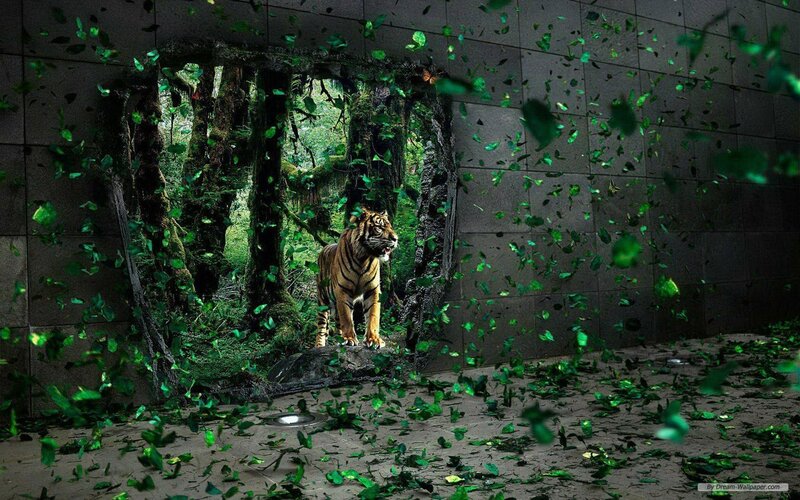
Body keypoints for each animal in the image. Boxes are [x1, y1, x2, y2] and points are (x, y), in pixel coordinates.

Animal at [315, 208, 398, 348]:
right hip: (323, 301)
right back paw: (320, 346)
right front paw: (349, 339)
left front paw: (374, 339)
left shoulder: (373, 290)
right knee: (321, 328)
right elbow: (347, 317)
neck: (363, 258)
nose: (396, 239)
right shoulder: (342, 290)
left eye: (390, 226)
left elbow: (373, 315)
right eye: (379, 228)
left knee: (337, 323)